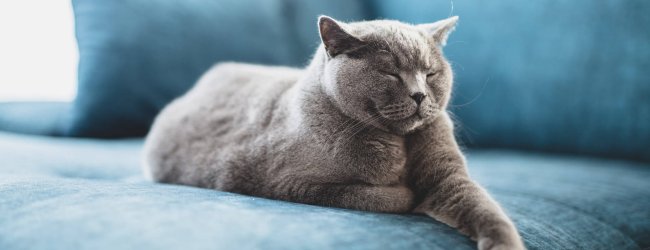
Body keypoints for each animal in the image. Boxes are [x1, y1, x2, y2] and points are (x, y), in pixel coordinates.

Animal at [142, 16, 520, 250]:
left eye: (430, 74)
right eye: (390, 73)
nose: (419, 95)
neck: (398, 142)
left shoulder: (448, 176)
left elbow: (482, 206)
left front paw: (504, 242)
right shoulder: (293, 183)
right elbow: (381, 196)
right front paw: (406, 193)